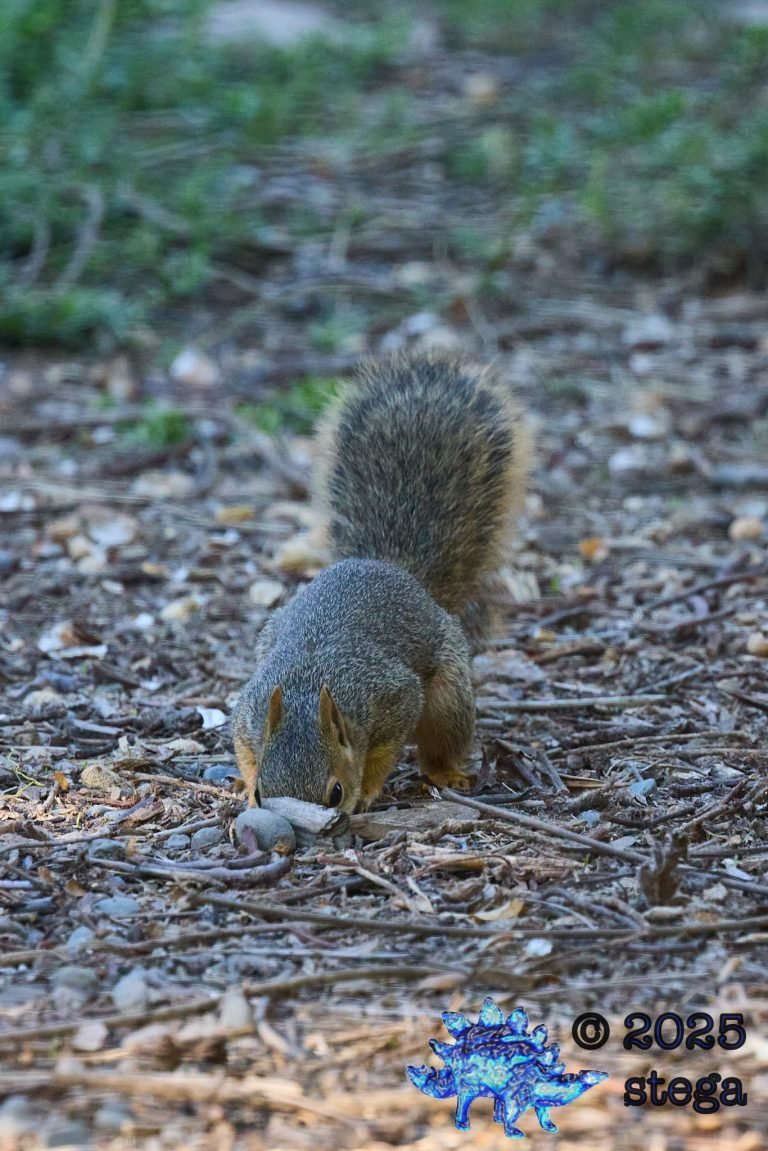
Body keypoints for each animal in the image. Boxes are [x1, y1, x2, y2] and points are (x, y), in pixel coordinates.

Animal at [233, 354, 531, 814]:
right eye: (265, 792)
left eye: (336, 792)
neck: (307, 690)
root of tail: (392, 569)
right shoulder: (251, 711)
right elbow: (247, 748)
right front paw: (245, 785)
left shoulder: (392, 697)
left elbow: (384, 748)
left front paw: (370, 789)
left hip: (449, 695)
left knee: (442, 738)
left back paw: (446, 773)